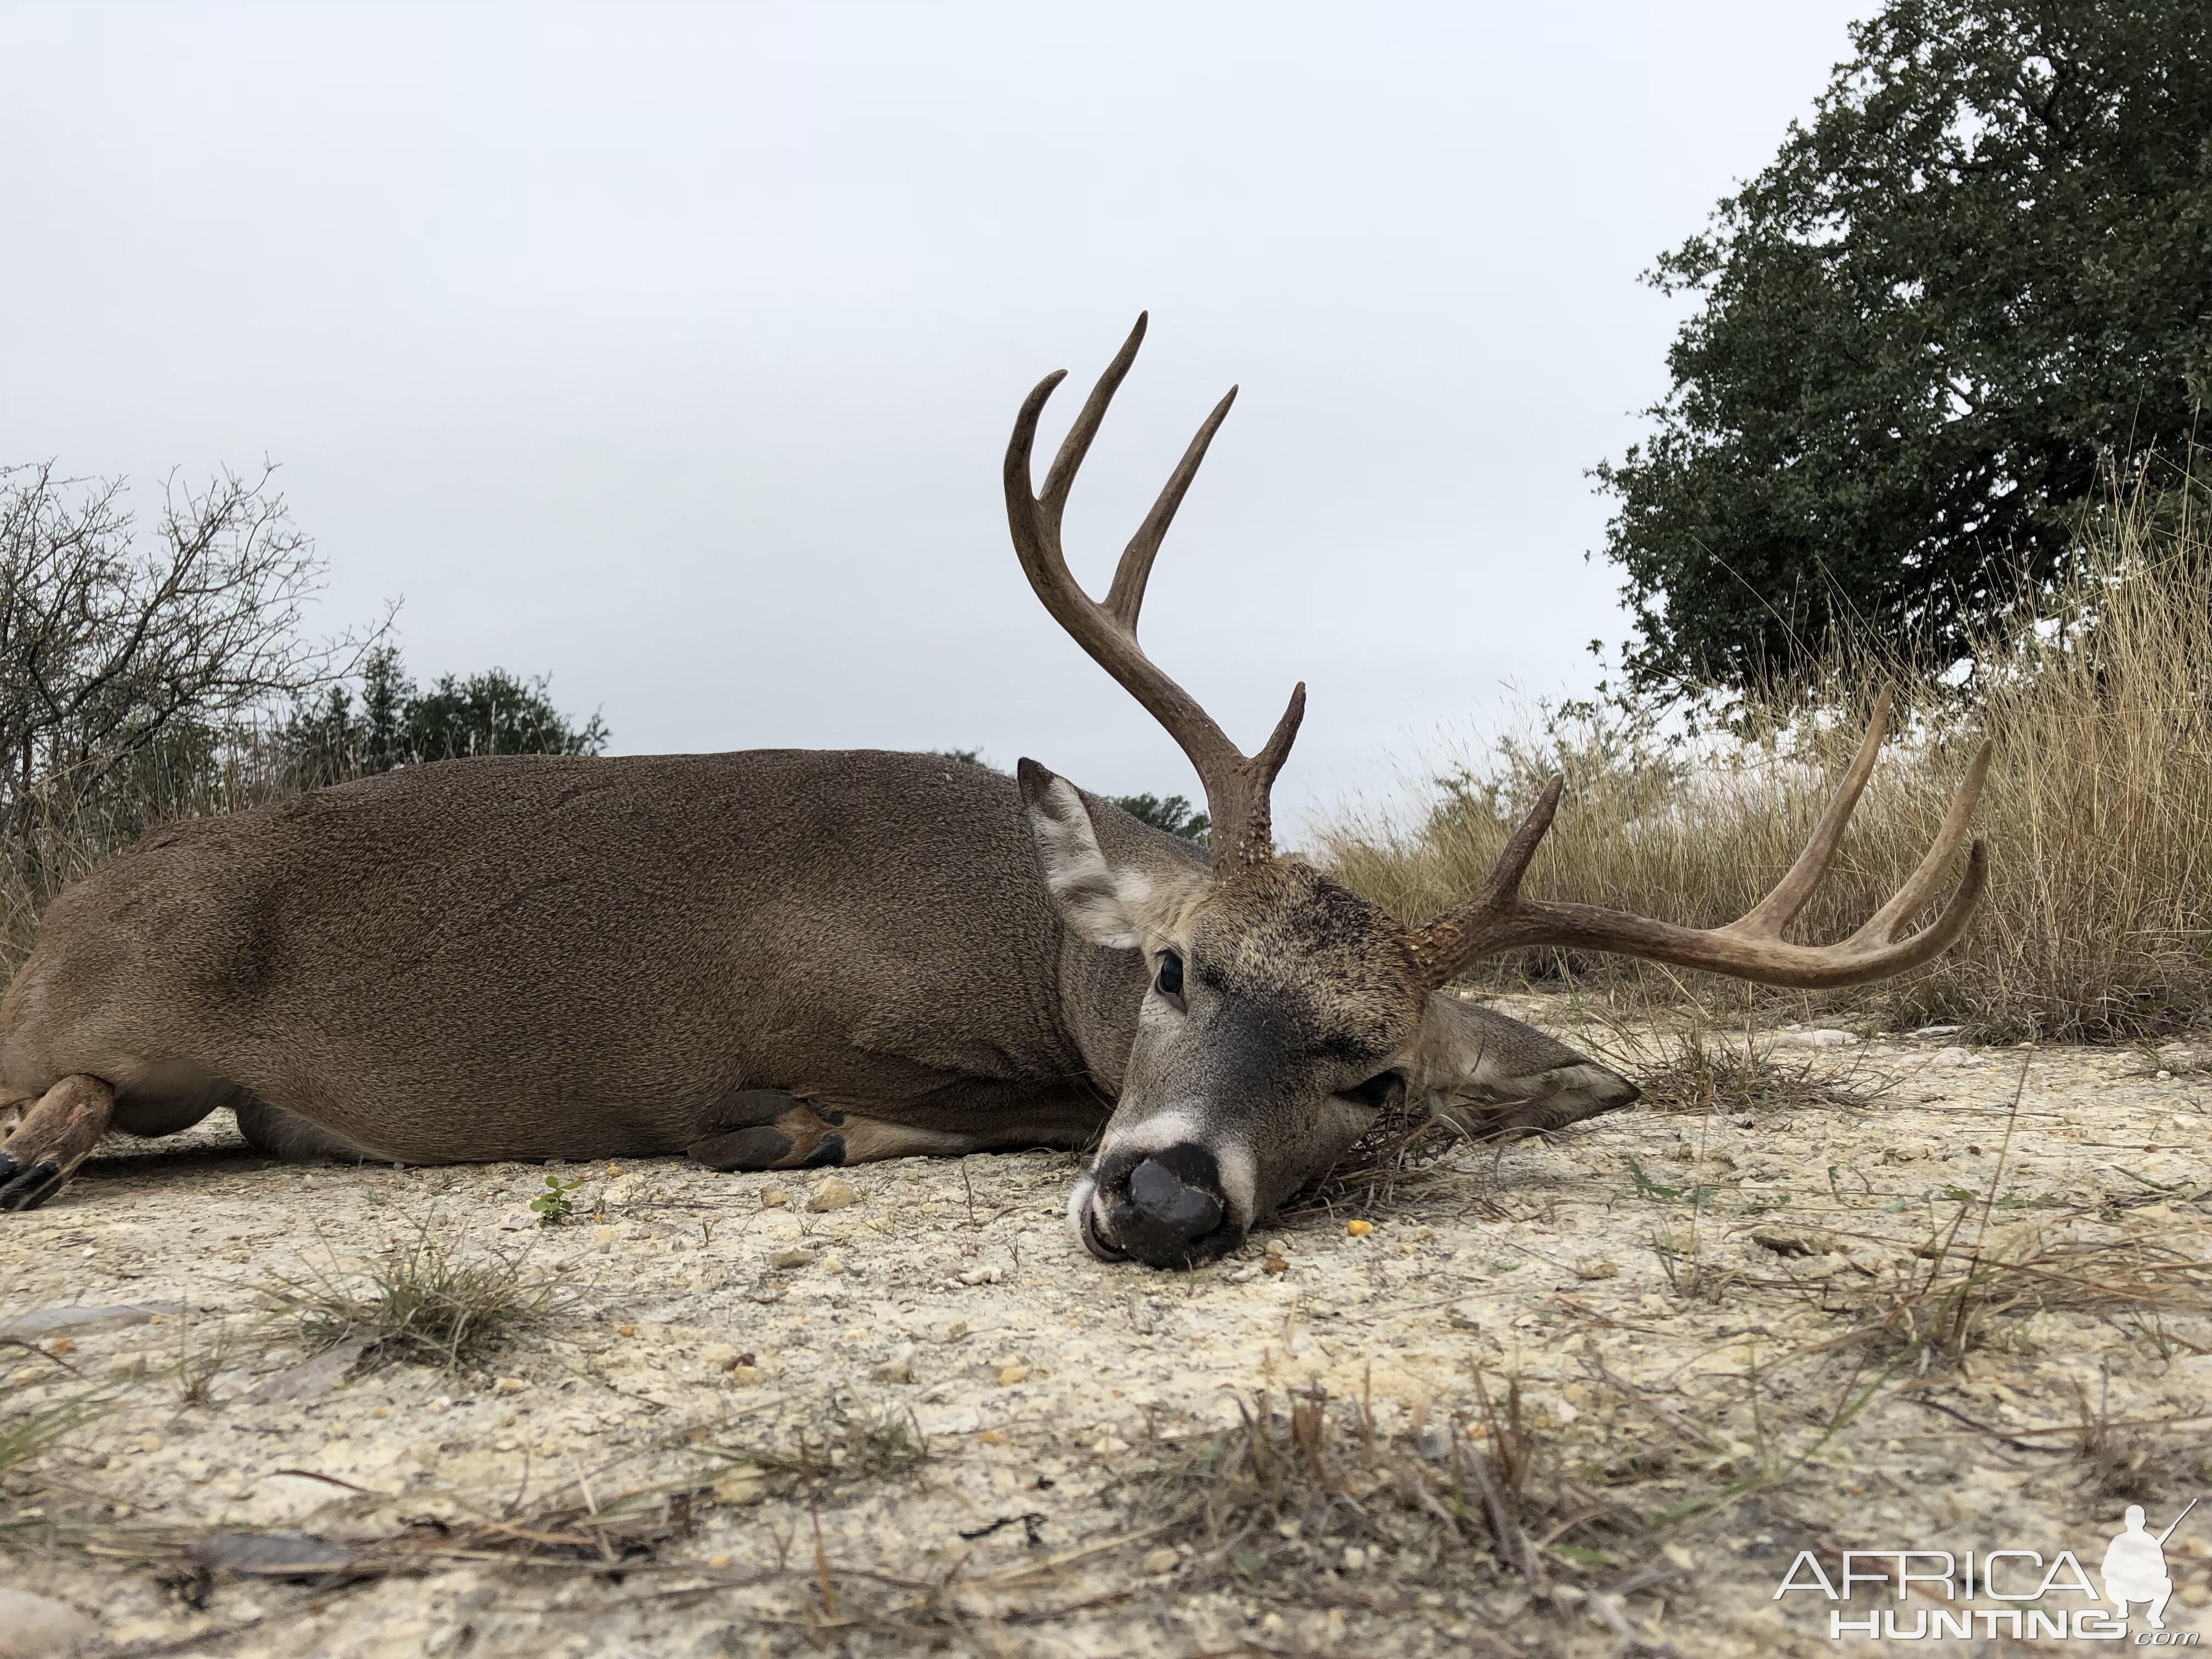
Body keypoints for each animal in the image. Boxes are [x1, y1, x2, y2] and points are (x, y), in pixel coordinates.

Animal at [0, 318, 1990, 1265]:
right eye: (1177, 970)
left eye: (1381, 1078)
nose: (1169, 1201)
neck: (1024, 948)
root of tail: (69, 911)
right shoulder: (804, 1021)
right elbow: (899, 1110)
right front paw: (815, 1132)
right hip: (120, 1013)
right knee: (80, 1087)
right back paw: (34, 1147)